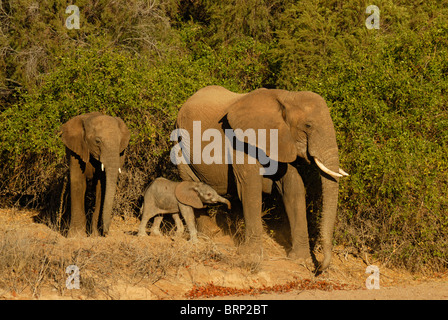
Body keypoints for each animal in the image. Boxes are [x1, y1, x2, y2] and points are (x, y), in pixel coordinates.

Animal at [173, 85, 348, 270]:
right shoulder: (240, 141)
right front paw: (251, 256)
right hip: (179, 143)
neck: (287, 97)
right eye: (308, 125)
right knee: (190, 181)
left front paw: (300, 260)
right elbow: (250, 187)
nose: (319, 269)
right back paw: (211, 233)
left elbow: (293, 187)